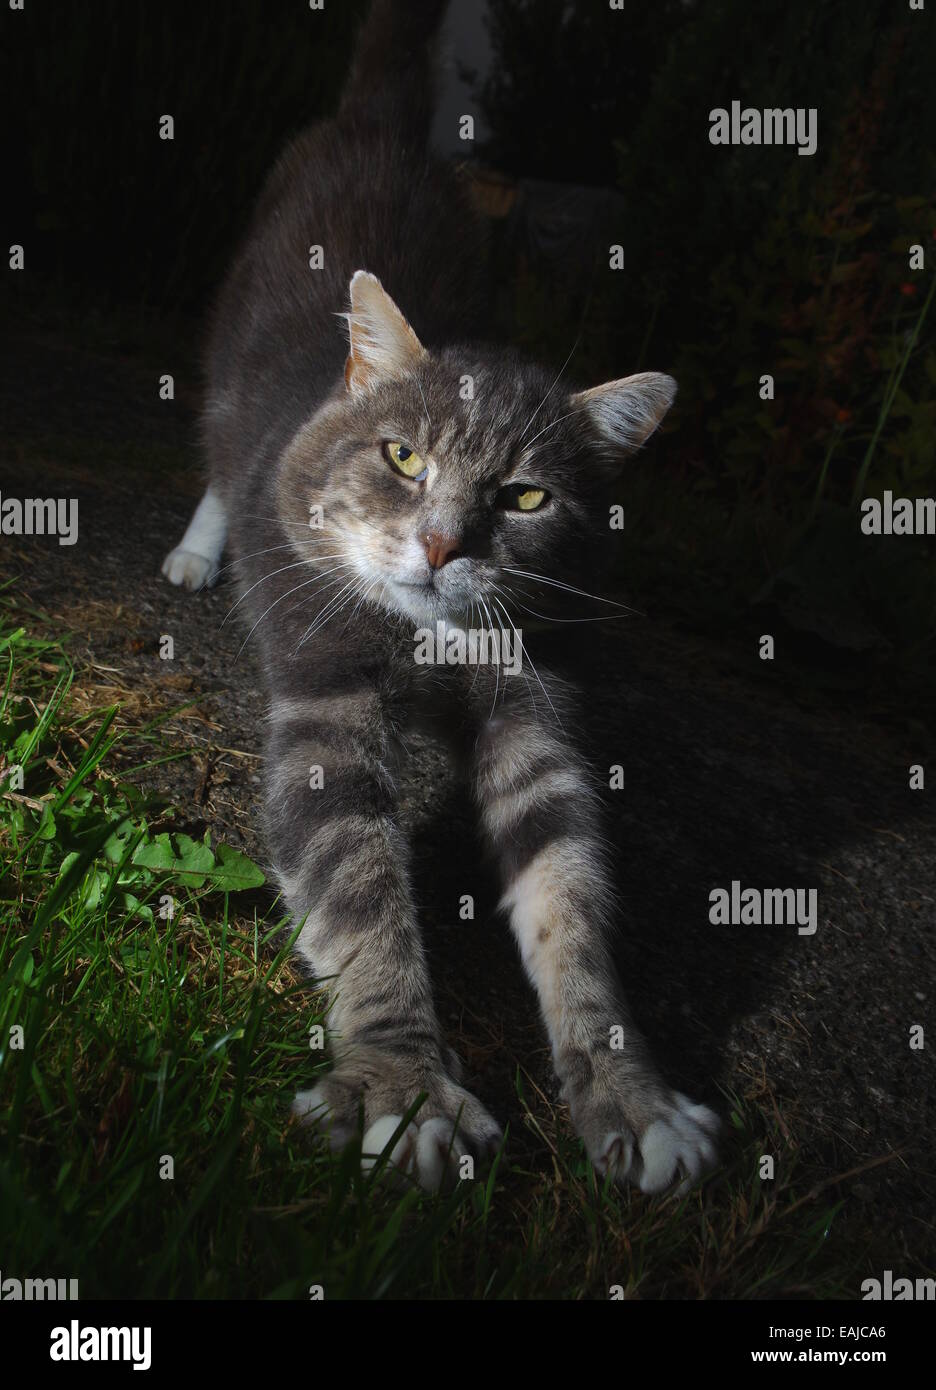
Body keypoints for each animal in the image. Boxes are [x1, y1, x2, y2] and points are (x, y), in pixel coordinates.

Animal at [162, 0, 717, 1195]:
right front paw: (405, 1091)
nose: (438, 544)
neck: (431, 649)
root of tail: (387, 124)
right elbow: (359, 892)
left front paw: (634, 1099)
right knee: (216, 451)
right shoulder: (325, 703)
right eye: (404, 457)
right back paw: (194, 550)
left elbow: (568, 897)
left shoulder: (536, 709)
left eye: (526, 494)